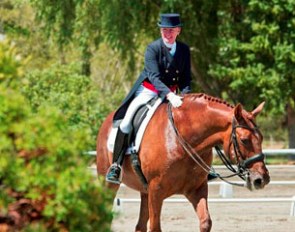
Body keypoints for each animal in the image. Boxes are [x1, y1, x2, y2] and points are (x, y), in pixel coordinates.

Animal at [96, 93, 270, 232]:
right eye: (244, 140)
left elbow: (205, 222)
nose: (262, 179)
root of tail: (108, 120)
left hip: (144, 191)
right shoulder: (156, 190)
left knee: (140, 226)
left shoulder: (196, 189)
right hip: (110, 184)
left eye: (261, 138)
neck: (183, 139)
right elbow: (155, 227)